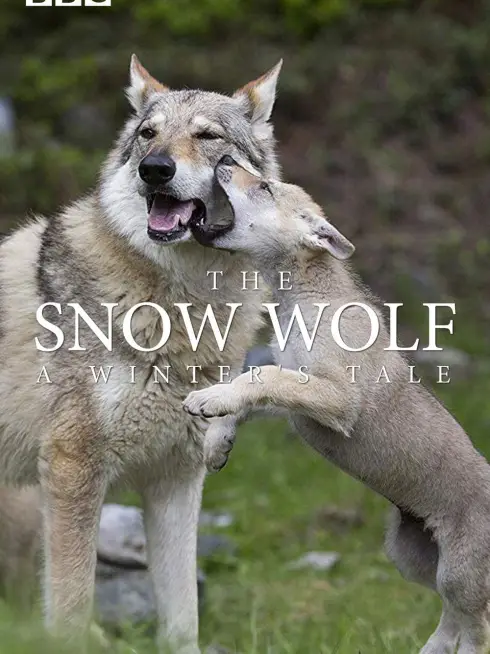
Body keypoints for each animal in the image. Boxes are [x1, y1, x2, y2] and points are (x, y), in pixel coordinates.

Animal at [0, 56, 282, 652]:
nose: (155, 169)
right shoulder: (74, 470)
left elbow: (182, 621)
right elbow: (70, 612)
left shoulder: (177, 480)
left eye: (207, 136)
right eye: (148, 134)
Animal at [184, 158, 490, 654]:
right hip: (415, 559)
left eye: (265, 187)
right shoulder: (295, 393)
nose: (225, 161)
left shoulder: (335, 399)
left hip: (461, 575)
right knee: (451, 623)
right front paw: (217, 443)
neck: (302, 295)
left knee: (476, 628)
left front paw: (206, 400)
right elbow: (251, 386)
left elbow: (256, 379)